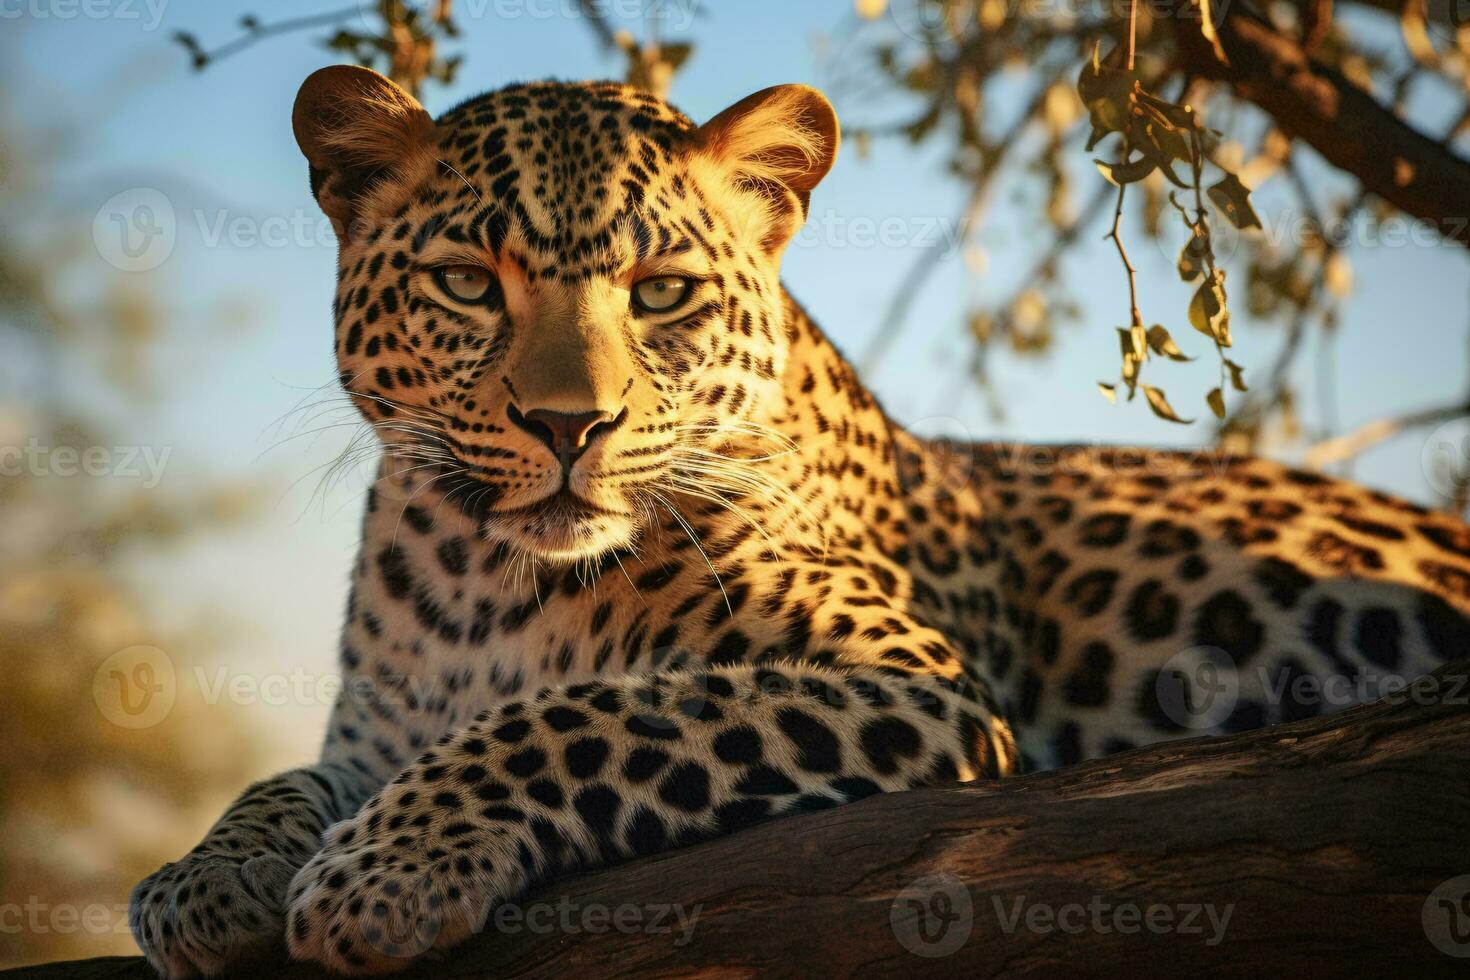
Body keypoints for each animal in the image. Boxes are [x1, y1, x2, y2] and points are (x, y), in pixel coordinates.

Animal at [123, 65, 1470, 975]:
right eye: (466, 282)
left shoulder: (916, 680)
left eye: (660, 292)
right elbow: (287, 777)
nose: (569, 424)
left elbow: (590, 711)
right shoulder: (379, 728)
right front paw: (203, 875)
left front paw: (388, 866)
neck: (479, 575)